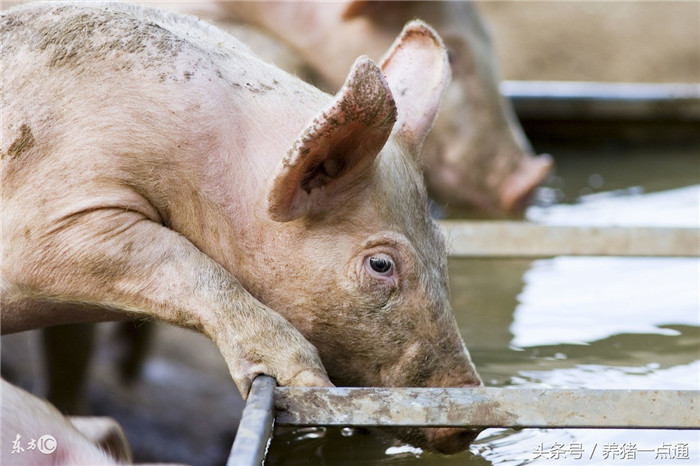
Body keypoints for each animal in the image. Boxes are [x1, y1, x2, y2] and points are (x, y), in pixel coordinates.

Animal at [1, 0, 482, 462]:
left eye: (441, 246)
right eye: (380, 264)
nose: (467, 413)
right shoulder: (51, 218)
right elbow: (188, 265)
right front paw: (310, 382)